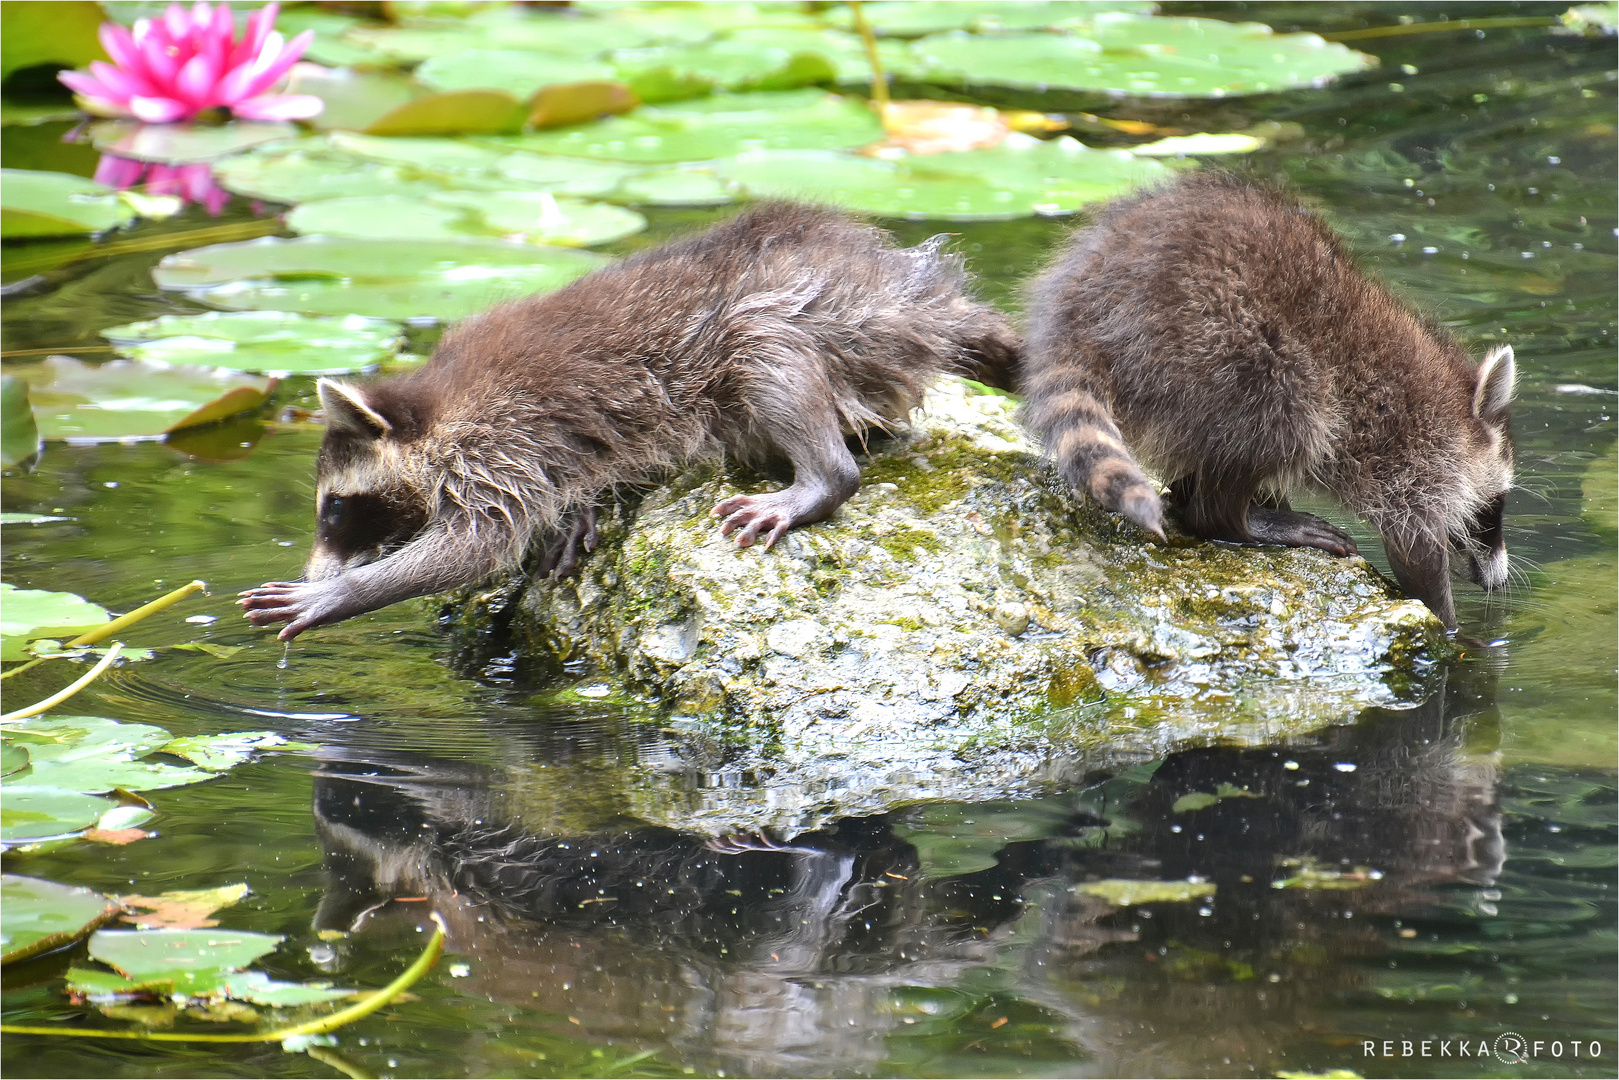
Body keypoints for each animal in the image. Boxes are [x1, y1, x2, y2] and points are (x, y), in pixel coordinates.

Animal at [239, 202, 1016, 637]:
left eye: (335, 510)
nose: (310, 569)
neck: (437, 406)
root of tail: (907, 289)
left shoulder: (494, 442)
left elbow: (477, 544)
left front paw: (342, 591)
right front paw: (584, 505)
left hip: (822, 315)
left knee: (760, 347)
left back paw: (823, 476)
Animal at [1023, 173, 1515, 628]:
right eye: (1496, 506)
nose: (1502, 579)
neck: (1458, 412)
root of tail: (1084, 306)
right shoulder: (1418, 456)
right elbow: (1415, 550)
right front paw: (1450, 627)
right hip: (1223, 342)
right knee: (1286, 416)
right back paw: (1238, 520)